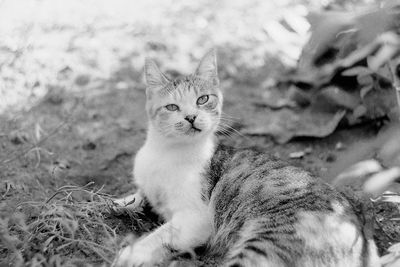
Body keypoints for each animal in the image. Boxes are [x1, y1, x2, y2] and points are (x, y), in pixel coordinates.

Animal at [111, 50, 378, 267]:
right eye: (172, 107)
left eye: (202, 99)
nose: (190, 117)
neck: (167, 151)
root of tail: (365, 245)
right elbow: (138, 196)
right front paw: (117, 202)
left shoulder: (195, 218)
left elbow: (160, 234)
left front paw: (131, 253)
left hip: (264, 242)